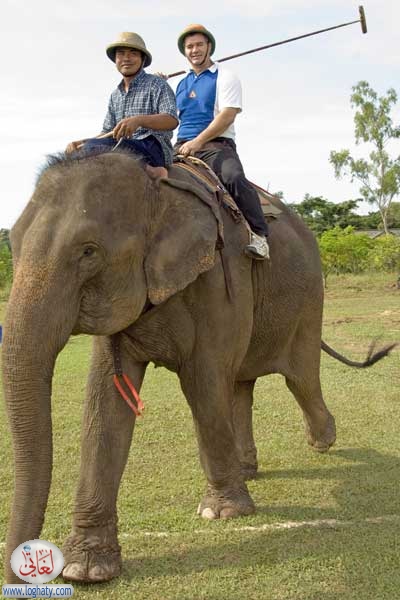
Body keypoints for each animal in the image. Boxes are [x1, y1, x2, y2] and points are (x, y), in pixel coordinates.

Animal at [1, 148, 392, 584]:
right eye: (12, 244)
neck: (158, 188)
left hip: (308, 298)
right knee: (241, 384)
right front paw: (84, 570)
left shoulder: (219, 277)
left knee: (299, 377)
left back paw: (322, 440)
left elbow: (203, 382)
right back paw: (248, 469)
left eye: (88, 251)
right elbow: (105, 402)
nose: (25, 571)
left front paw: (222, 512)